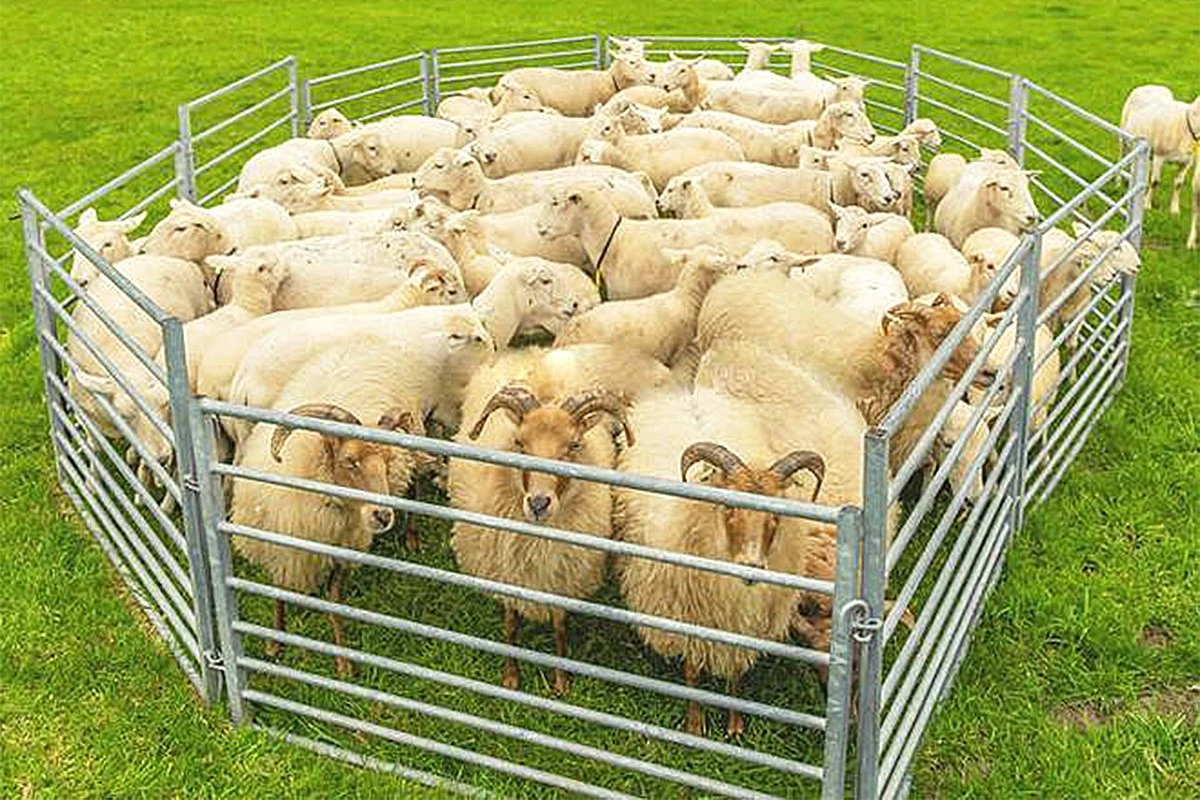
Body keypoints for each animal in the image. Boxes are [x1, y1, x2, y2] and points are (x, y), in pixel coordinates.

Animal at [449, 364, 637, 693]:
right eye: (519, 443)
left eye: (574, 445)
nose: (538, 503)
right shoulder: (505, 571)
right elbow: (510, 624)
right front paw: (511, 677)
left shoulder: (561, 577)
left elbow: (559, 627)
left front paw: (560, 681)